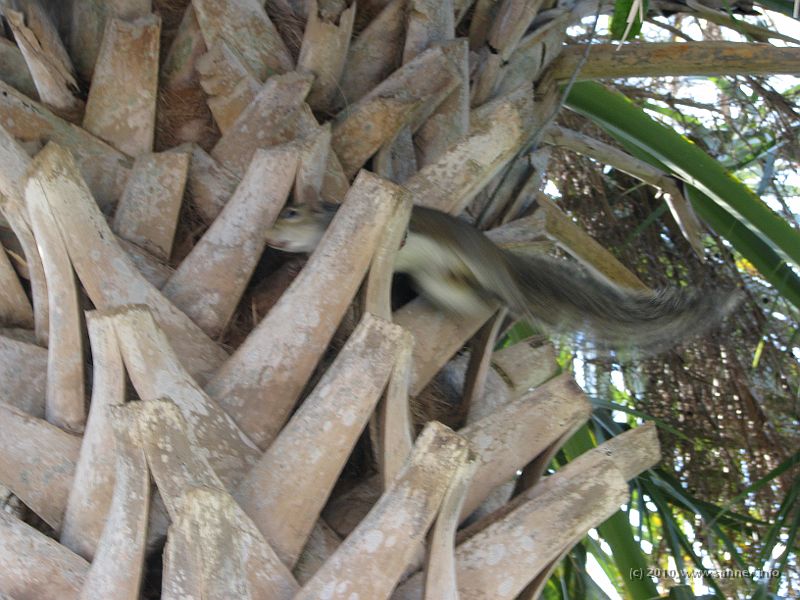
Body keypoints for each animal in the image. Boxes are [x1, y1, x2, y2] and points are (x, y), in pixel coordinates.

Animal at [265, 203, 742, 355]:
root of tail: (504, 263)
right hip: (440, 282)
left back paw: (514, 304)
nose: (267, 236)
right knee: (474, 299)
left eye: (291, 211)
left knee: (505, 296)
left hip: (479, 267)